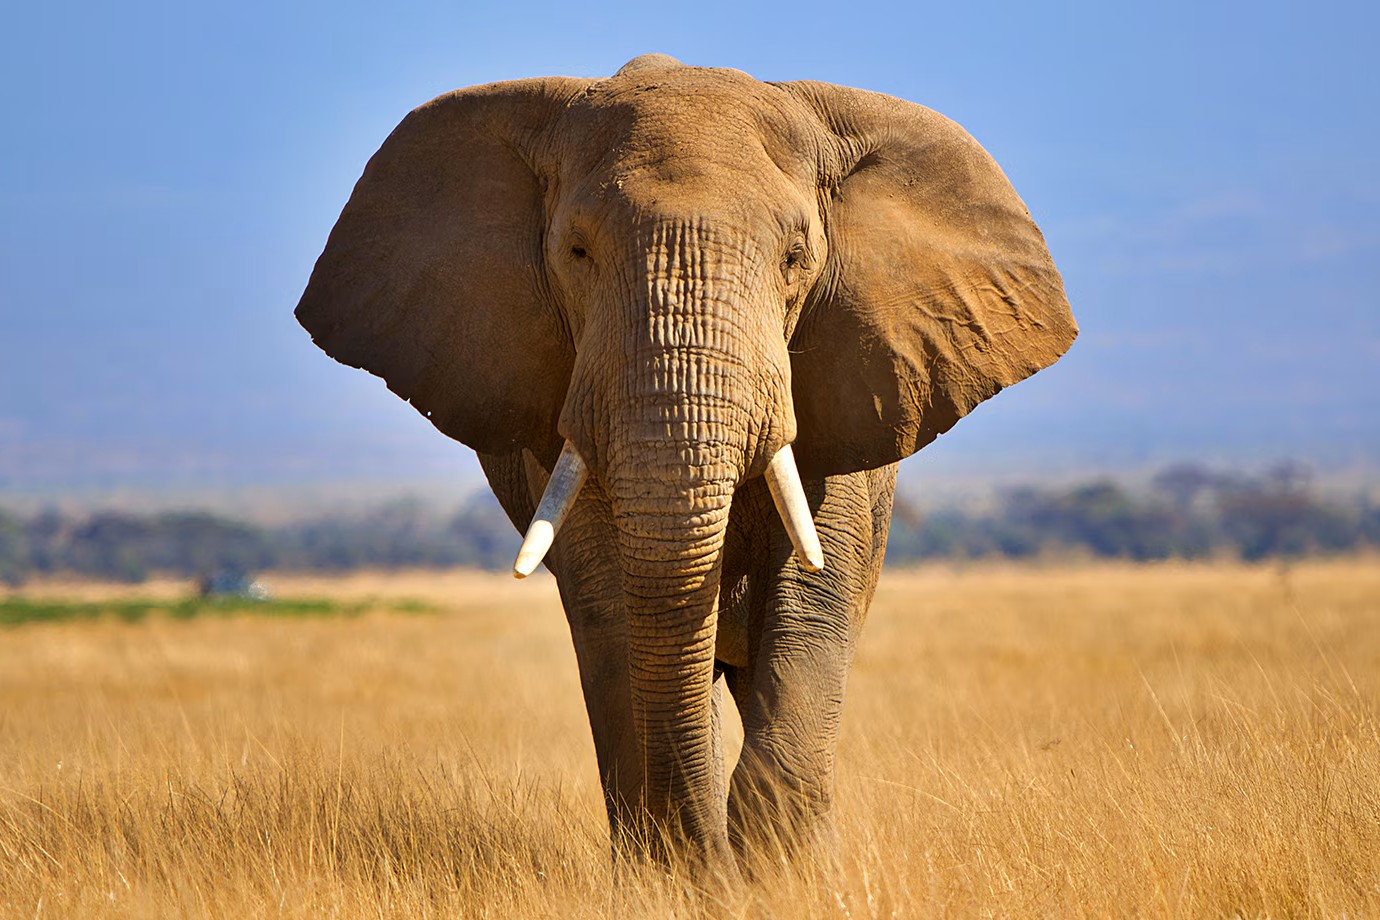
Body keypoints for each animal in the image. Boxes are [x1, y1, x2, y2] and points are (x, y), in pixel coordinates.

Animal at [296, 54, 1076, 876]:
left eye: (796, 258)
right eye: (577, 252)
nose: (711, 866)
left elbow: (812, 595)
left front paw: (786, 878)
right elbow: (612, 602)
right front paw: (677, 879)